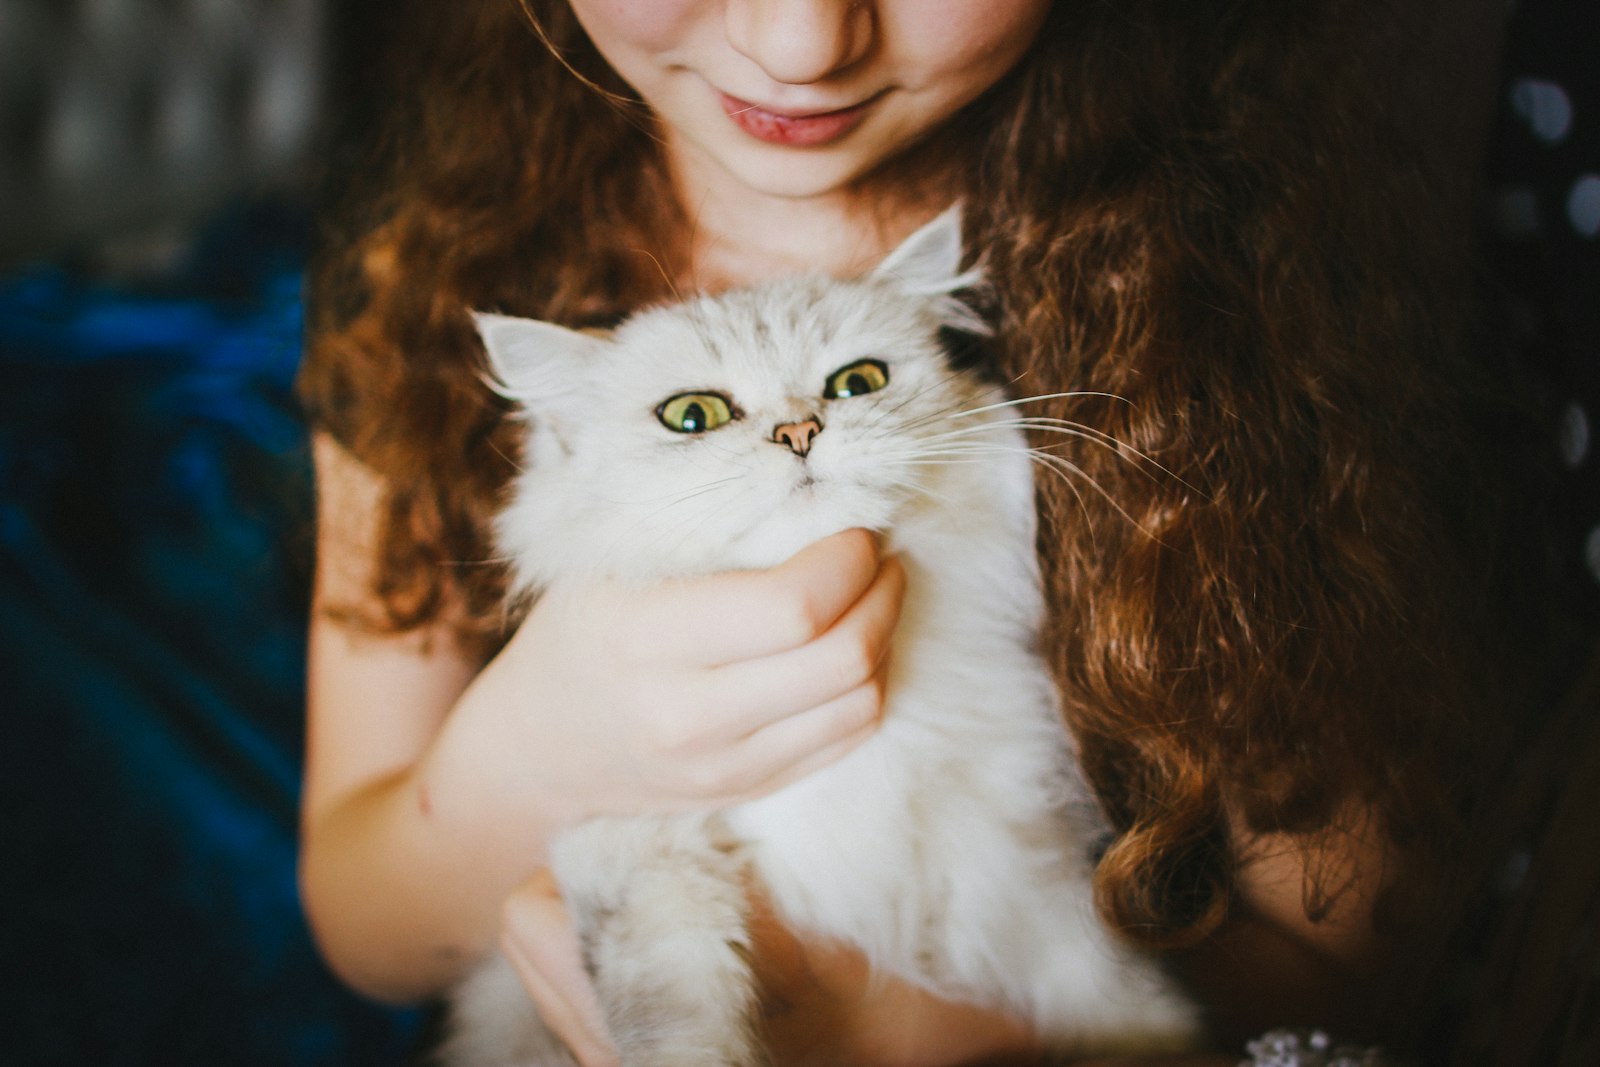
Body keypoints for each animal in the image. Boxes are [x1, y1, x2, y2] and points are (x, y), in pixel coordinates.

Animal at [444, 207, 1196, 1067]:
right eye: (692, 416)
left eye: (858, 383)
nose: (800, 431)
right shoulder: (634, 849)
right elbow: (681, 1011)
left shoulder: (1012, 867)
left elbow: (1111, 991)